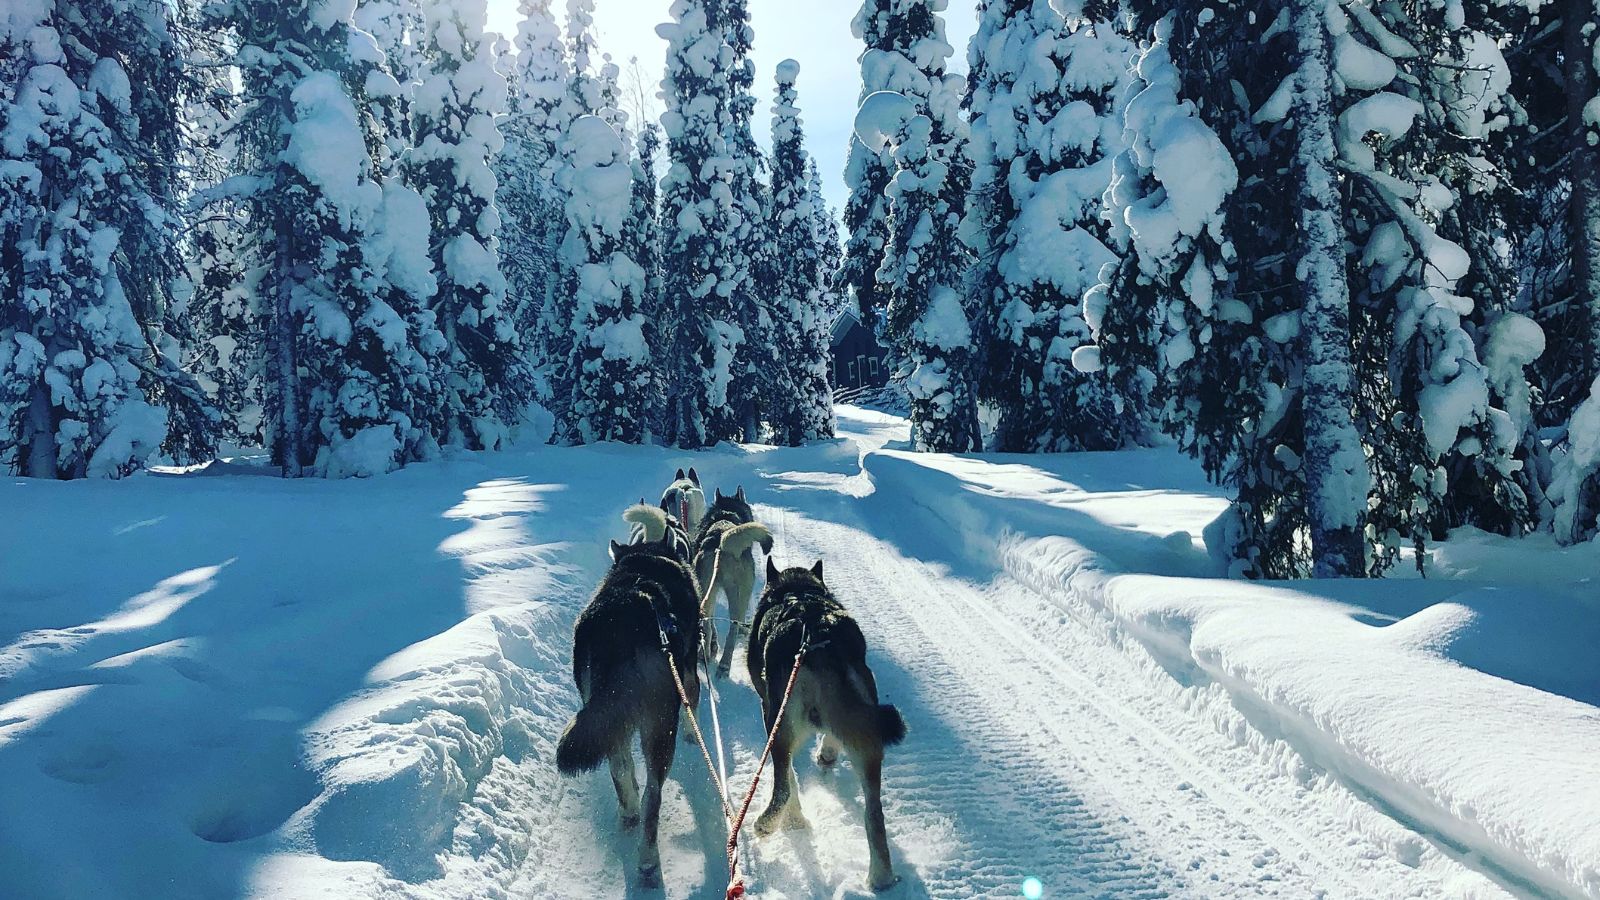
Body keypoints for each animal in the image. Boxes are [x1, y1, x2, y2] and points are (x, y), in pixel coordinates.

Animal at [556, 531, 700, 883]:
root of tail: (623, 622)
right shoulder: (689, 675)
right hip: (660, 728)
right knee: (653, 794)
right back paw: (648, 859)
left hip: (608, 718)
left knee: (621, 769)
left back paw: (629, 812)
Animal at [694, 483, 774, 672]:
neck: (726, 513)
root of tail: (722, 541)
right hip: (738, 593)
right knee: (732, 627)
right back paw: (724, 662)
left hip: (708, 591)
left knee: (708, 625)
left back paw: (706, 655)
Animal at [745, 557, 908, 883]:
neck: (797, 591)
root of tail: (820, 641)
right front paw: (828, 754)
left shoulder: (768, 710)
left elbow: (790, 779)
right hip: (868, 742)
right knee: (874, 813)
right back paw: (881, 878)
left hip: (778, 726)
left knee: (783, 785)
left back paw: (773, 823)